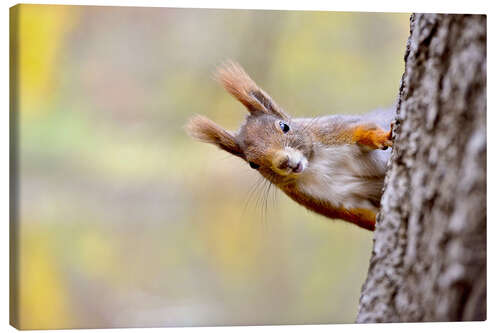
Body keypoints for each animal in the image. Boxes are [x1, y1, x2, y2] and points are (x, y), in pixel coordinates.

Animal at [185, 61, 394, 230]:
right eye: (253, 164)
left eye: (284, 126)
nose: (284, 162)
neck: (314, 165)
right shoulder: (328, 202)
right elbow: (360, 216)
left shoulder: (332, 131)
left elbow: (361, 130)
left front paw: (382, 137)